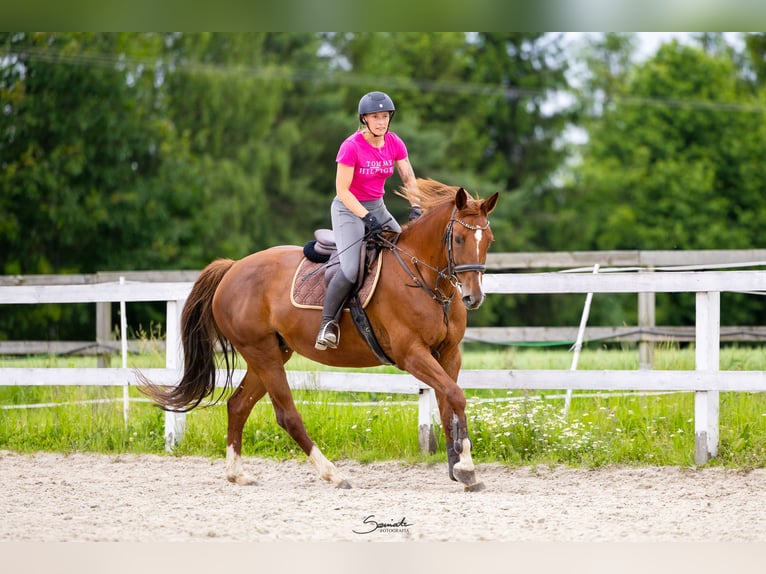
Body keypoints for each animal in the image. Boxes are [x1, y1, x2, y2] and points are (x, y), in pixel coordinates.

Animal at [139, 178, 499, 491]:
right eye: (458, 239)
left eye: (489, 240)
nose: (473, 297)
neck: (423, 277)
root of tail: (233, 267)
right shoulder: (412, 353)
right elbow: (455, 395)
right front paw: (466, 467)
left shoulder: (448, 353)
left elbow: (447, 402)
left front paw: (458, 467)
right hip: (263, 354)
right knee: (287, 415)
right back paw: (333, 474)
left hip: (270, 354)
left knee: (238, 405)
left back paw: (237, 473)